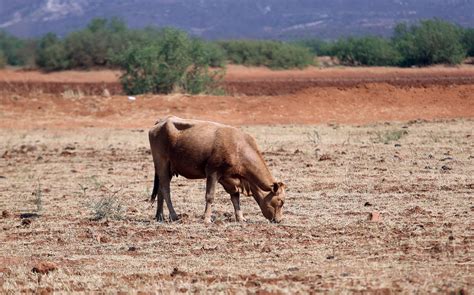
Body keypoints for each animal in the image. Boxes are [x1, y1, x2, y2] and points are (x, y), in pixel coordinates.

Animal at [148, 115, 286, 224]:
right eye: (281, 201)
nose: (279, 220)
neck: (238, 147)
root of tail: (162, 121)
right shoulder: (212, 172)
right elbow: (210, 196)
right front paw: (206, 219)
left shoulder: (229, 178)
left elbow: (235, 197)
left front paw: (240, 218)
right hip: (162, 163)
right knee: (166, 190)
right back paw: (174, 215)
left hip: (168, 169)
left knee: (160, 190)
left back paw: (160, 216)